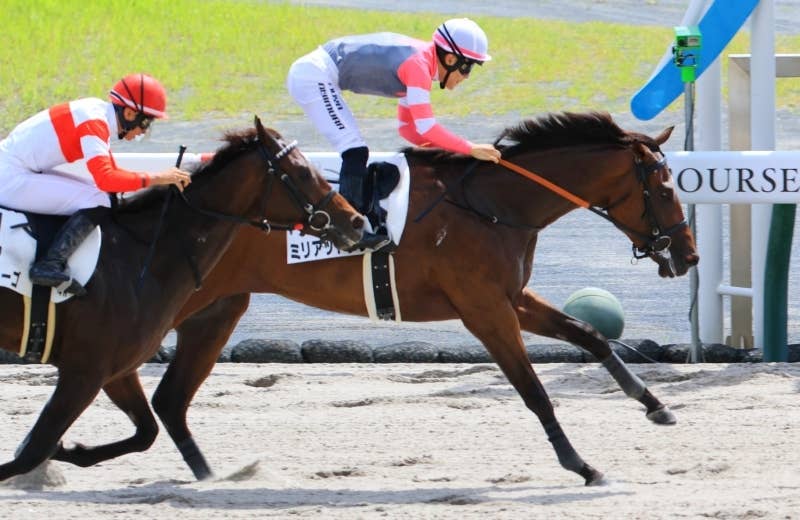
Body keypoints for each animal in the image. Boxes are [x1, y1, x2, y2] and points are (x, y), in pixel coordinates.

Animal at [0, 117, 363, 482]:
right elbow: (32, 452)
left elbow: (145, 432)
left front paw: (69, 450)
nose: (357, 221)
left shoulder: (115, 369)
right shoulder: (84, 370)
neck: (139, 254)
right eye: (302, 172)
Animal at [43, 111, 699, 486]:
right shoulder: (485, 310)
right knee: (146, 388)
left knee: (171, 401)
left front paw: (656, 406)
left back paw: (210, 479)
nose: (689, 255)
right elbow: (534, 391)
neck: (494, 203)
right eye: (667, 187)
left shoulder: (511, 298)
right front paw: (581, 465)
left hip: (216, 309)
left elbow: (590, 335)